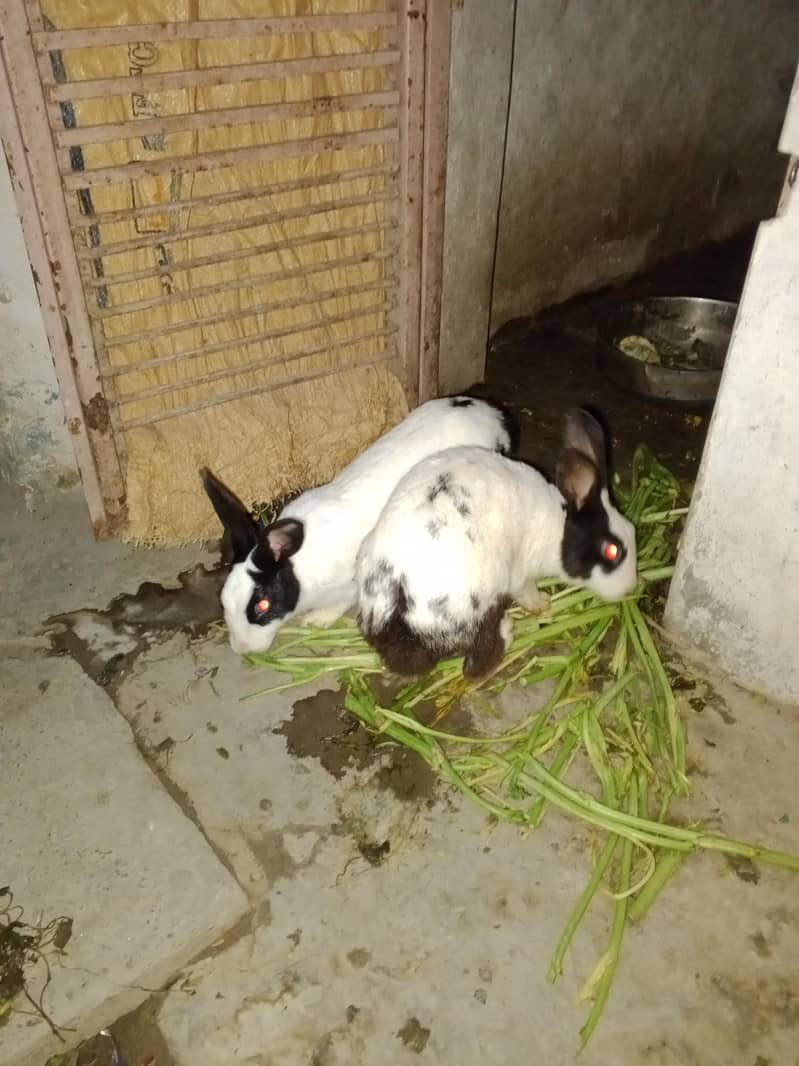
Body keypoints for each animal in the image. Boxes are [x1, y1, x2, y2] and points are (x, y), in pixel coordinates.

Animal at [201, 395, 518, 655]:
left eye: (262, 605)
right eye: (223, 599)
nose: (242, 649)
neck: (300, 567)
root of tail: (493, 413)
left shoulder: (349, 586)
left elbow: (339, 604)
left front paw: (317, 620)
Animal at [355, 408, 637, 680]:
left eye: (634, 531)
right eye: (612, 551)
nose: (629, 588)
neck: (559, 530)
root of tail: (394, 601)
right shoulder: (521, 577)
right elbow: (527, 593)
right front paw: (543, 604)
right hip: (484, 598)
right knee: (476, 666)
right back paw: (508, 630)